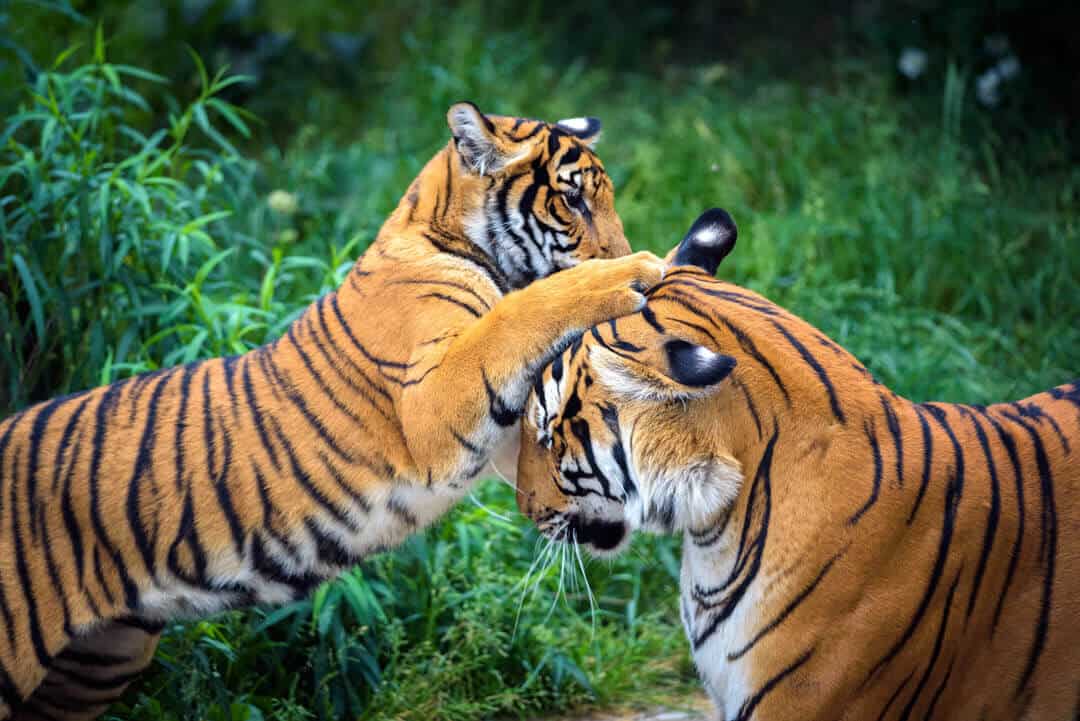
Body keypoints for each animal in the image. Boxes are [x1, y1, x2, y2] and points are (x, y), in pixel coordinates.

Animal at [0, 102, 665, 721]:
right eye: (572, 201)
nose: (623, 248)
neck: (443, 230)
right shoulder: (432, 404)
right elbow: (522, 313)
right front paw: (634, 271)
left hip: (99, 660)